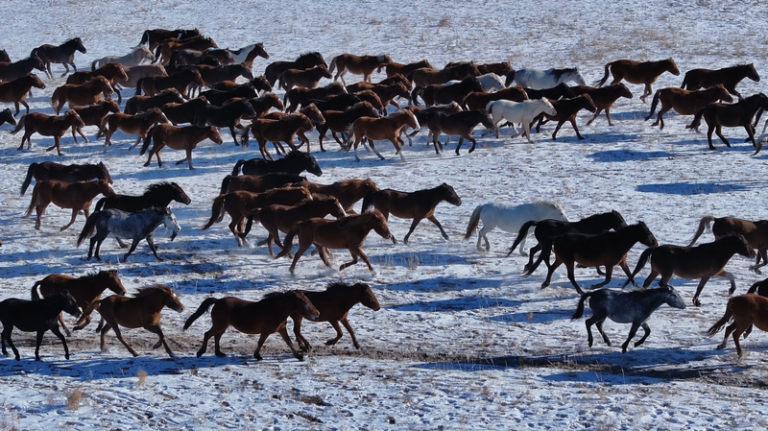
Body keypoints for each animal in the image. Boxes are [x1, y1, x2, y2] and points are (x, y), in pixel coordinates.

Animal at [184, 291, 319, 360]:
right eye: (304, 302)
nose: (317, 313)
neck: (274, 310)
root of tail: (218, 301)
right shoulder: (266, 331)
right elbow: (260, 342)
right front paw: (257, 356)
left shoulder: (281, 329)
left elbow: (289, 342)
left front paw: (299, 356)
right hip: (219, 324)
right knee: (208, 334)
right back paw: (200, 352)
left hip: (223, 325)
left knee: (217, 336)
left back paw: (219, 353)